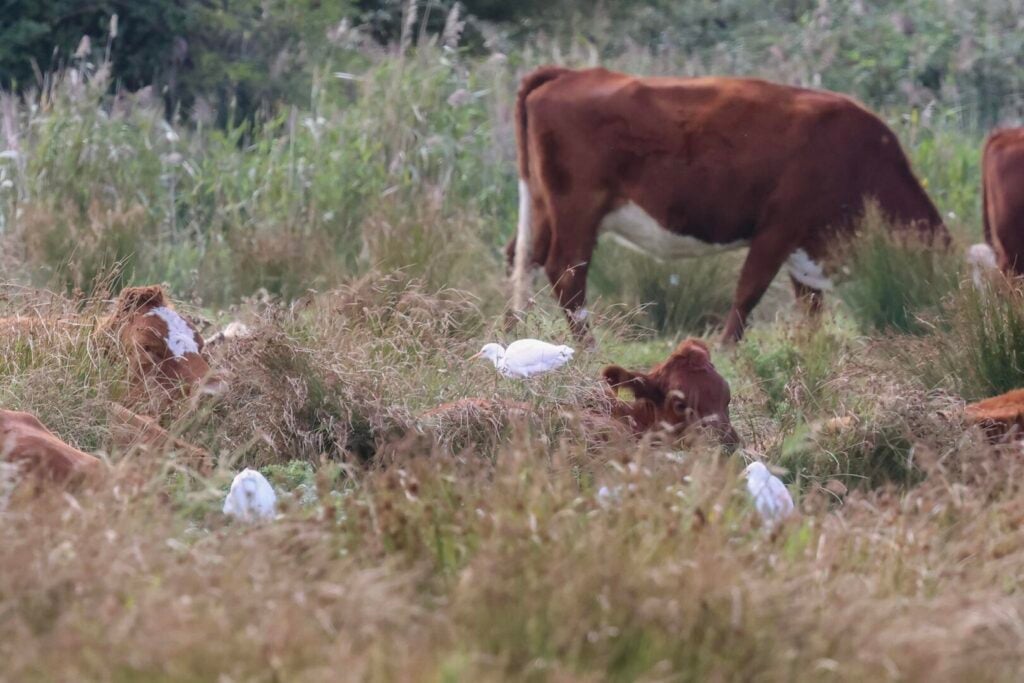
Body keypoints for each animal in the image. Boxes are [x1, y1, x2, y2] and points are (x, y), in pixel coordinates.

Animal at [507, 67, 948, 343]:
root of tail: (567, 73)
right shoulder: (778, 227)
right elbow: (748, 292)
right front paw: (727, 349)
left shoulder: (805, 248)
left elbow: (810, 308)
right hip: (577, 208)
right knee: (565, 273)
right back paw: (587, 347)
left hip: (542, 206)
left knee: (523, 259)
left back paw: (514, 333)